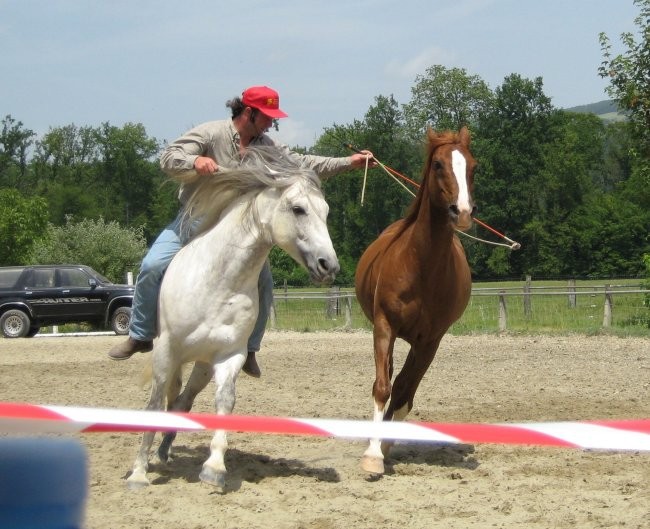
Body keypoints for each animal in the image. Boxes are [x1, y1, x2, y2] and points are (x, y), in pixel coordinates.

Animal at [125, 147, 340, 490]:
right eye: (298, 209)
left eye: (326, 212)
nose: (328, 265)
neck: (218, 281)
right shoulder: (166, 350)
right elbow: (154, 404)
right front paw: (138, 473)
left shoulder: (230, 355)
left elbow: (225, 401)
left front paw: (214, 468)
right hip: (175, 357)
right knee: (170, 397)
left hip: (201, 364)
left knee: (182, 401)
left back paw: (166, 450)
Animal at [354, 127, 476, 474]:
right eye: (437, 164)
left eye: (473, 167)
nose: (462, 211)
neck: (421, 266)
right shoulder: (384, 327)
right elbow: (382, 387)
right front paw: (372, 456)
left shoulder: (430, 341)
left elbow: (403, 392)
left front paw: (383, 445)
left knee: (404, 386)